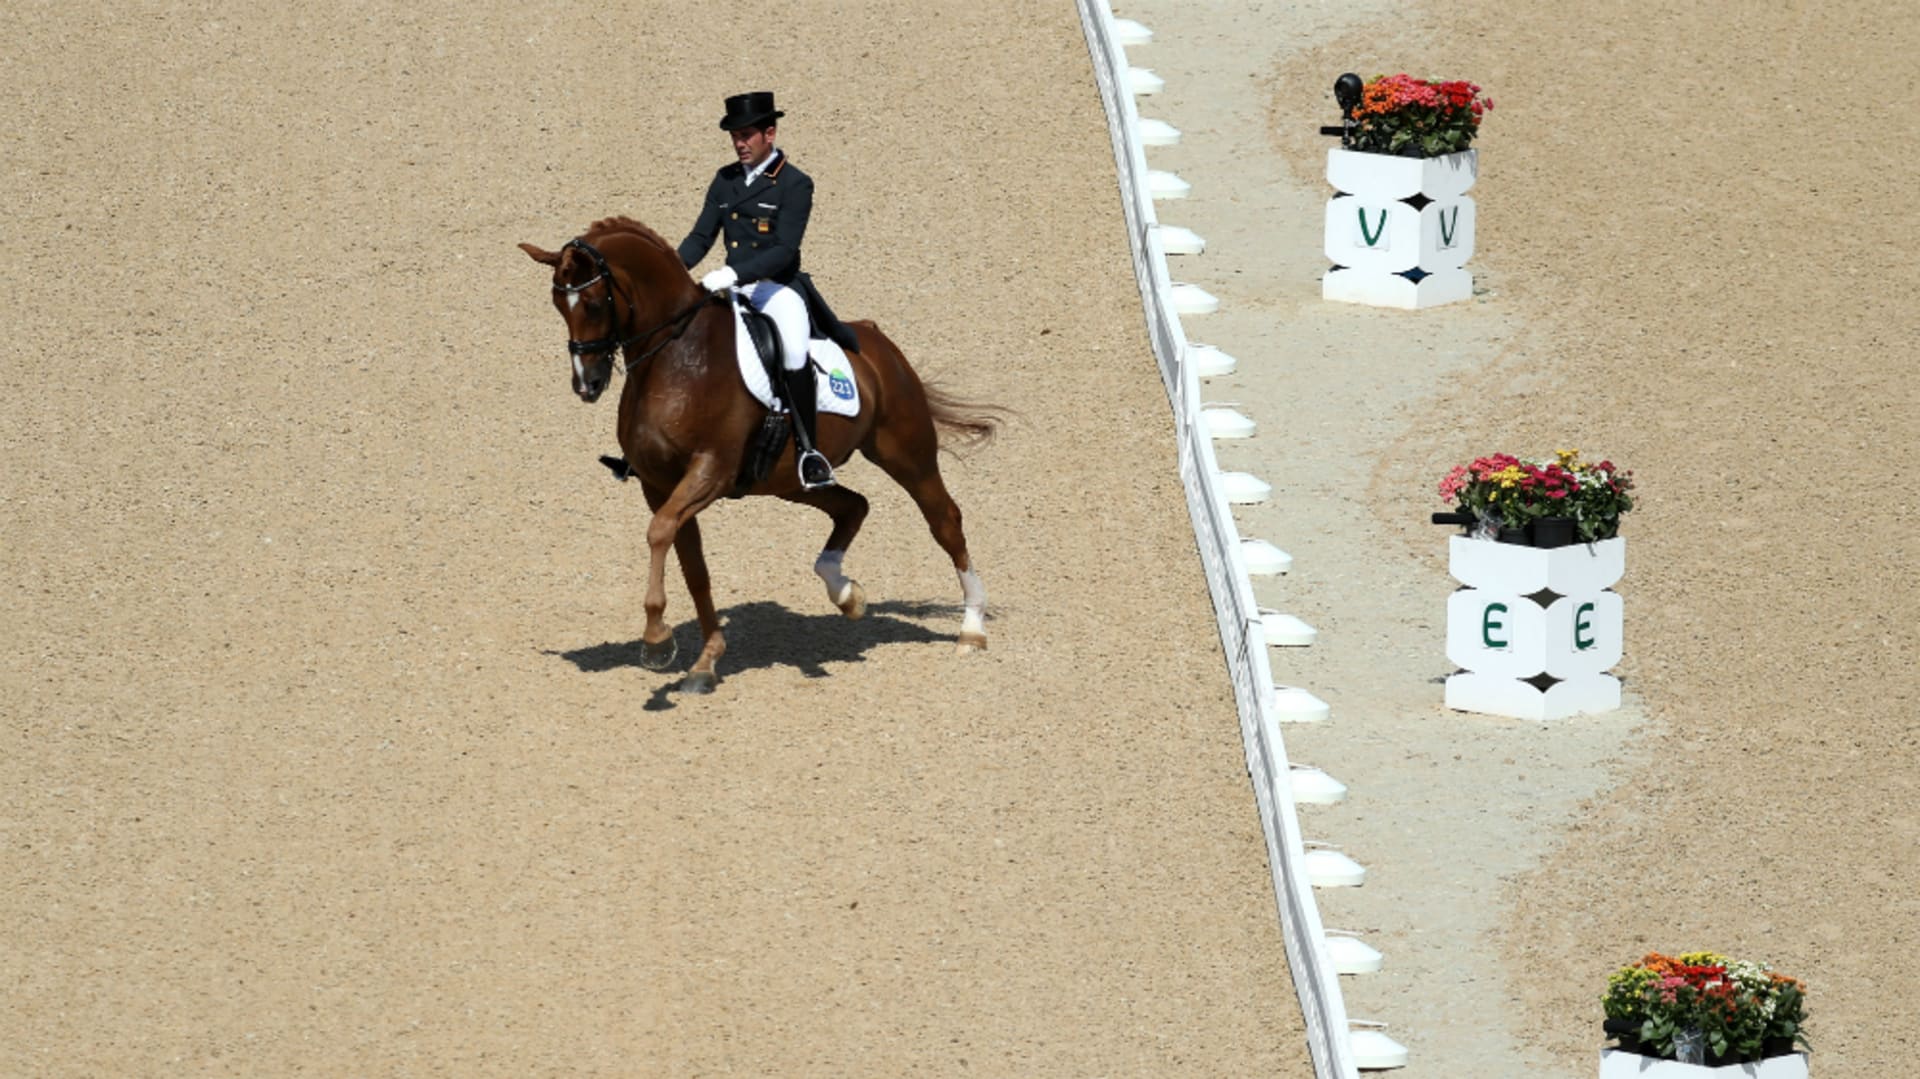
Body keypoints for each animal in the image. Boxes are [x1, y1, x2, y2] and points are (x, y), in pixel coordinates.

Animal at [518, 215, 998, 687]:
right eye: (558, 304)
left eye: (593, 303)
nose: (587, 384)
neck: (675, 358)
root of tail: (876, 341)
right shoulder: (659, 485)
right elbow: (691, 564)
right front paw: (705, 661)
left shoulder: (711, 470)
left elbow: (659, 532)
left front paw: (656, 639)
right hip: (790, 480)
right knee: (853, 506)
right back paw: (846, 595)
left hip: (906, 453)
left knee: (945, 521)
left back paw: (971, 629)